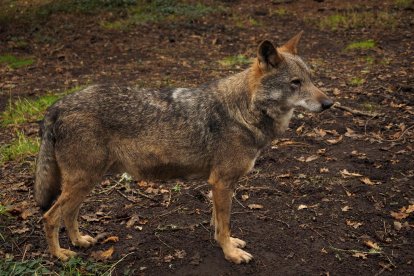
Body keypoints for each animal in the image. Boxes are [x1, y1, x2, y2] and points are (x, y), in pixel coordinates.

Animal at [35, 32, 334, 266]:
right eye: (295, 83)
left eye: (311, 79)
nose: (329, 103)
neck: (245, 110)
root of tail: (56, 106)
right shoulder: (221, 183)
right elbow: (224, 224)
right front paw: (231, 254)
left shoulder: (220, 184)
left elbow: (218, 223)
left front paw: (228, 244)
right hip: (83, 181)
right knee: (50, 217)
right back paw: (60, 255)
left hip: (87, 182)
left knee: (68, 214)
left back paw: (80, 241)